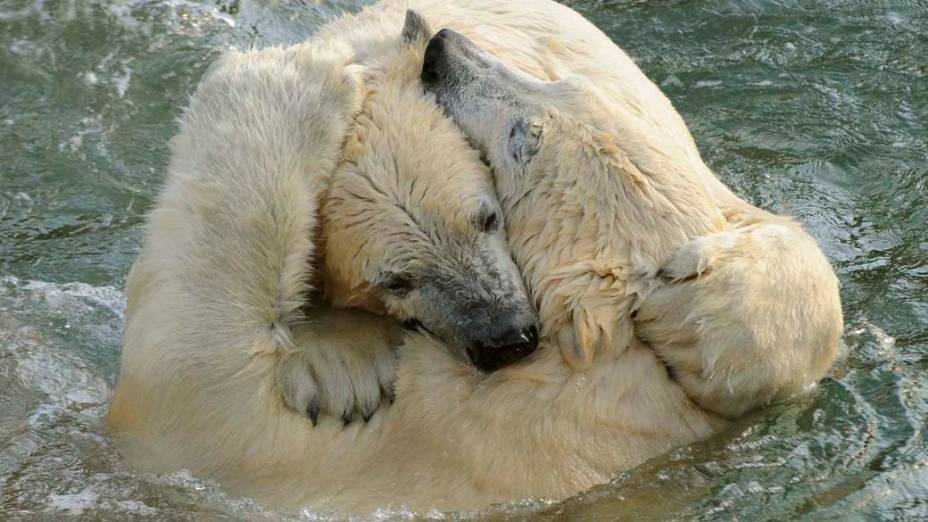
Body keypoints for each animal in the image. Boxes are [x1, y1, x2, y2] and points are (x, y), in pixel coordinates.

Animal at [109, 0, 840, 512]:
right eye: (397, 279)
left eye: (524, 136)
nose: (444, 46)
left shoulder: (418, 448)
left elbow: (191, 375)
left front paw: (300, 82)